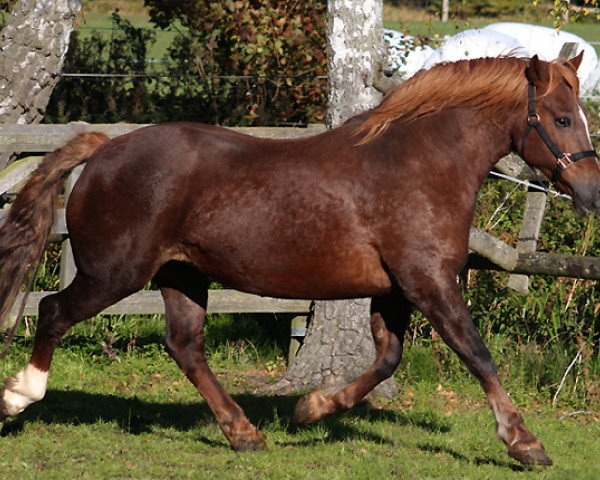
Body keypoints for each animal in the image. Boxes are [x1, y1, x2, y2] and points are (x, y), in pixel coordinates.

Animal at [0, 55, 596, 464]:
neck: (421, 164)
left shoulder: (395, 290)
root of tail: (103, 148)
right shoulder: (429, 282)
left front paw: (311, 408)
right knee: (53, 311)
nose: (591, 193)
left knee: (185, 346)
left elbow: (388, 359)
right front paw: (525, 442)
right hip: (115, 272)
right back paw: (18, 397)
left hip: (181, 275)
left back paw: (244, 433)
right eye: (563, 119)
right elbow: (477, 354)